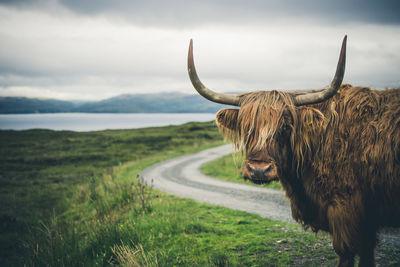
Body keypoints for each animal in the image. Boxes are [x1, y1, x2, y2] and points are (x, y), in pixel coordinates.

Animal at [188, 36, 400, 267]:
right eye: (246, 127)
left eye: (285, 126)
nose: (258, 170)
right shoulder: (366, 218)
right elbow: (367, 253)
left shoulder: (344, 206)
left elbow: (346, 251)